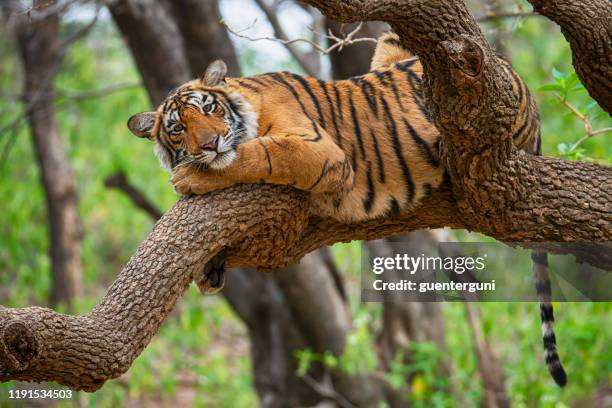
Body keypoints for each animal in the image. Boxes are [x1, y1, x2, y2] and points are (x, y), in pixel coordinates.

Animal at [126, 31, 568, 386]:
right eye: (178, 128)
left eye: (210, 109)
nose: (209, 143)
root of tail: (524, 89)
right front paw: (210, 266)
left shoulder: (318, 150)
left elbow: (253, 155)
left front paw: (191, 177)